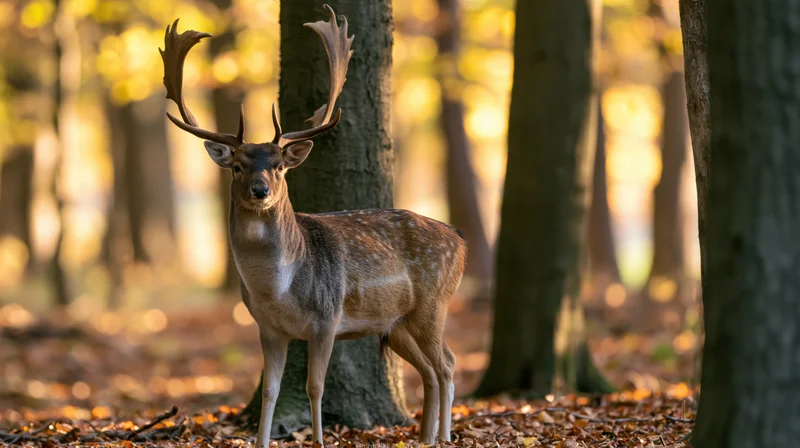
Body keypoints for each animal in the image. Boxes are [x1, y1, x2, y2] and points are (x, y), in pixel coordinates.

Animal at [159, 5, 466, 447]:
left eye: (279, 166)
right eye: (237, 165)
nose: (259, 190)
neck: (277, 290)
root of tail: (460, 239)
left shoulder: (326, 317)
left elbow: (314, 387)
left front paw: (319, 439)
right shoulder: (268, 328)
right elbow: (270, 390)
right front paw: (261, 440)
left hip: (434, 302)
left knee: (447, 363)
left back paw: (443, 436)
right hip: (396, 323)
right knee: (429, 369)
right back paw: (424, 436)